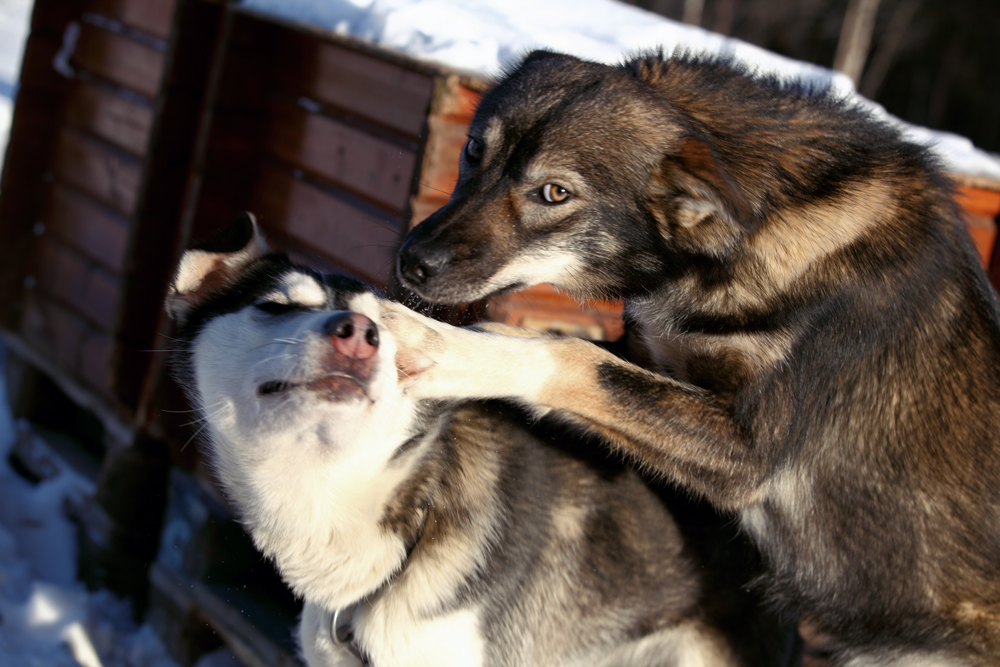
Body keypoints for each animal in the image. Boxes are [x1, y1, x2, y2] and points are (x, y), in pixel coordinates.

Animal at [386, 49, 1000, 664]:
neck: (742, 241)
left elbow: (570, 355)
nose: (412, 262)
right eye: (474, 151)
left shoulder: (747, 454)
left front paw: (439, 346)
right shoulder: (649, 362)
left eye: (555, 193)